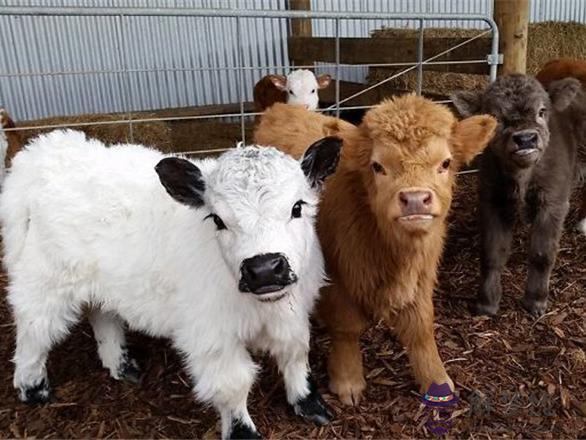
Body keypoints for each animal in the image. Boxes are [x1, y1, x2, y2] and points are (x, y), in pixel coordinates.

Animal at [0, 130, 340, 436]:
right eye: (217, 219)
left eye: (297, 207)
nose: (264, 268)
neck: (265, 308)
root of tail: (47, 150)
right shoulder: (211, 338)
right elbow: (233, 386)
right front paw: (242, 431)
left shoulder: (294, 315)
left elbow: (295, 353)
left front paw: (309, 403)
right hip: (44, 285)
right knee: (34, 332)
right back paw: (33, 388)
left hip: (101, 286)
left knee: (102, 314)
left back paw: (121, 365)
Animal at [253, 98, 496, 404]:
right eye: (378, 166)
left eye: (445, 163)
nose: (415, 199)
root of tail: (279, 109)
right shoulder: (337, 276)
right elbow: (346, 327)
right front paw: (348, 381)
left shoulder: (422, 275)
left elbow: (421, 328)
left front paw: (436, 381)